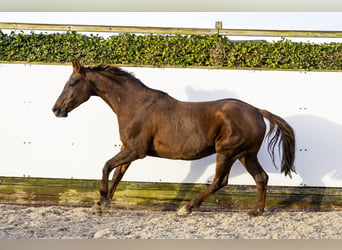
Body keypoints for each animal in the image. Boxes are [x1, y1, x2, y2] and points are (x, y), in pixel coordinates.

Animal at [52, 61, 296, 216]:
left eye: (72, 83)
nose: (56, 109)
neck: (134, 104)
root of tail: (257, 111)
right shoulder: (127, 149)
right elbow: (117, 175)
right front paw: (101, 204)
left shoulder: (136, 151)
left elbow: (106, 166)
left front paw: (101, 200)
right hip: (246, 154)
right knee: (261, 178)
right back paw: (256, 211)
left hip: (227, 152)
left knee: (220, 181)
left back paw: (186, 208)